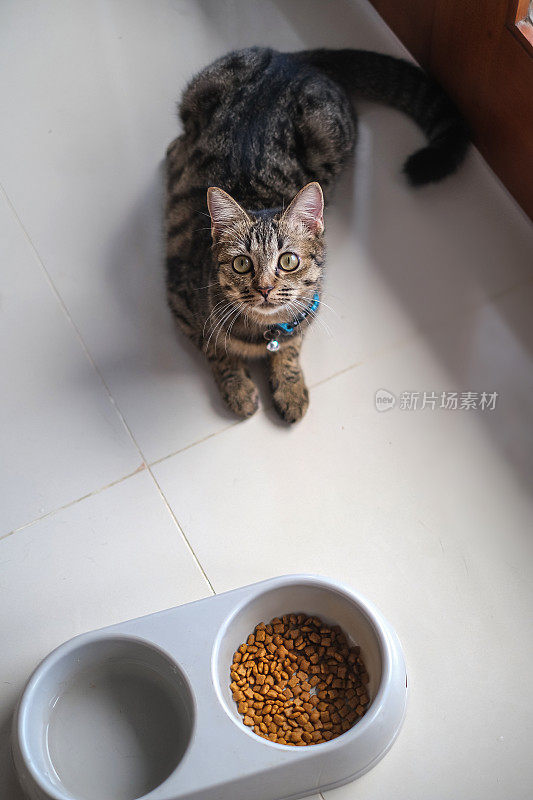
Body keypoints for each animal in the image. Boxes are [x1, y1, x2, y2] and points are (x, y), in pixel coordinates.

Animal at [165, 48, 466, 424]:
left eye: (288, 261)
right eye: (241, 264)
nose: (264, 288)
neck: (265, 331)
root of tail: (291, 61)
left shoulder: (309, 309)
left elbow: (290, 348)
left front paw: (290, 386)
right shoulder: (180, 304)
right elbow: (217, 350)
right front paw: (239, 388)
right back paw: (173, 156)